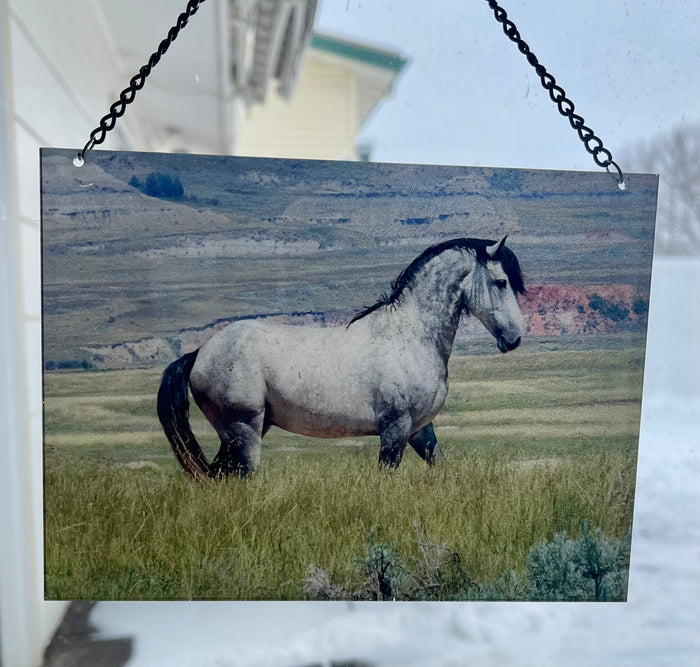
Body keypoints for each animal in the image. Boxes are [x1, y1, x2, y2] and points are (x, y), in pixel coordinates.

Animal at [157, 236, 525, 478]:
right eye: (501, 282)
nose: (515, 338)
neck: (409, 336)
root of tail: (199, 353)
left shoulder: (421, 430)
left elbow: (440, 467)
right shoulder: (395, 429)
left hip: (241, 432)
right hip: (244, 430)